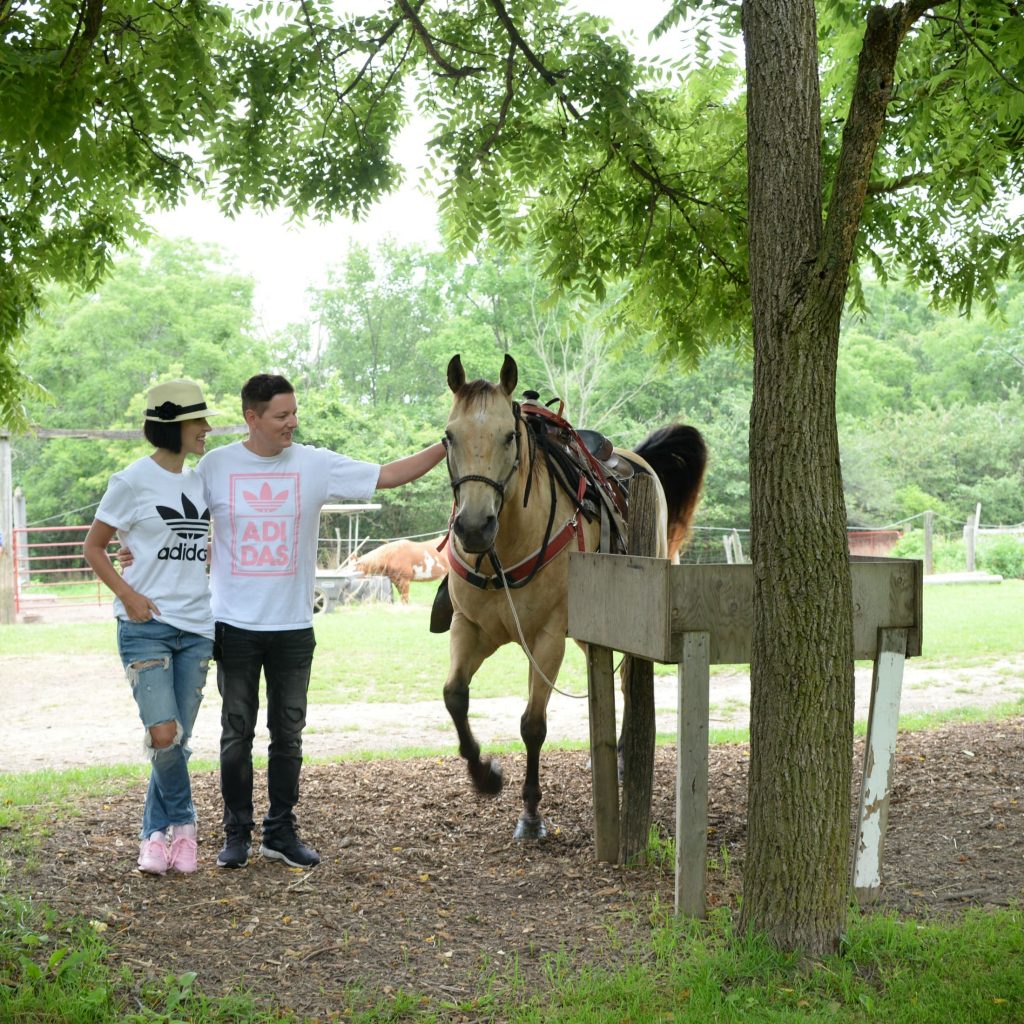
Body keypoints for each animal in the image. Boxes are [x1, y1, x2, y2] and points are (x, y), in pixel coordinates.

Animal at [440, 354, 704, 839]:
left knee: (628, 680)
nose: (473, 526)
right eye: (449, 436)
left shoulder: (547, 639)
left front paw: (531, 813)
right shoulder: (469, 629)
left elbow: (532, 725)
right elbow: (455, 696)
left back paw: (622, 757)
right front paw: (484, 776)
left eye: (509, 435)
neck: (506, 550)